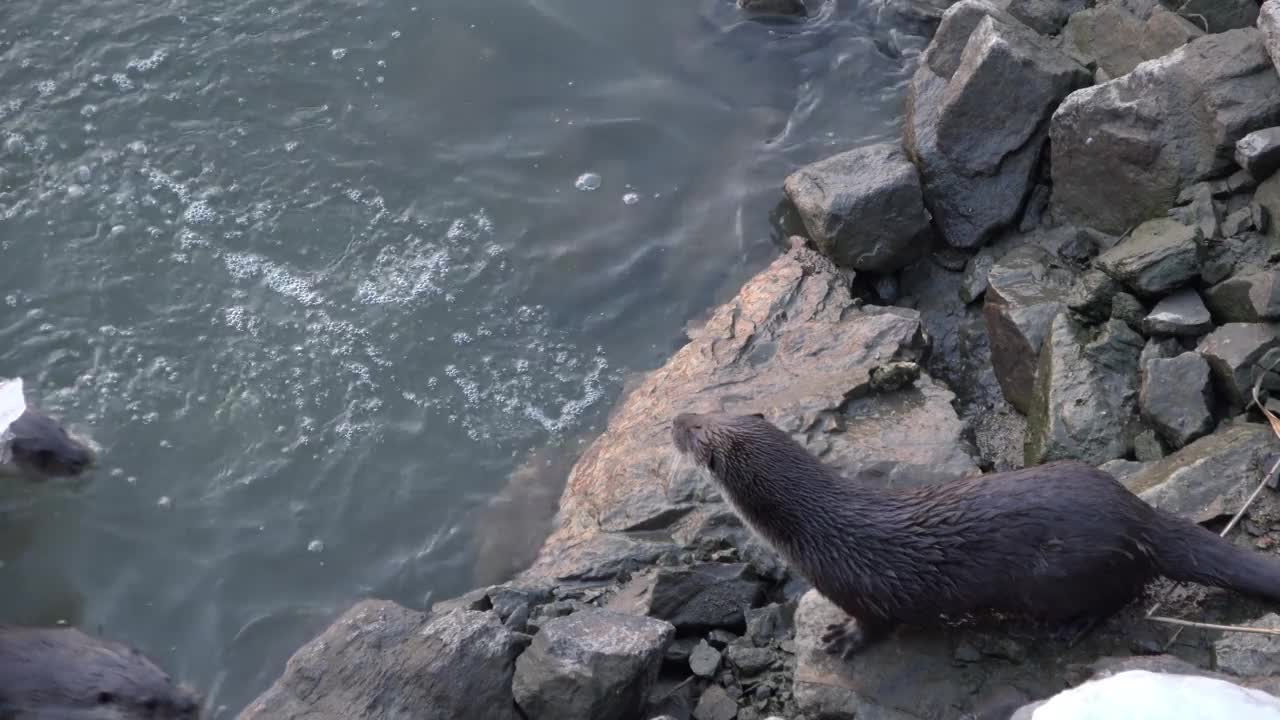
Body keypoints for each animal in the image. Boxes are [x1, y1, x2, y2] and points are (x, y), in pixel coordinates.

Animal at [670, 409, 1280, 655]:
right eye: (705, 411)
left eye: (694, 430)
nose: (673, 420)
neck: (817, 525)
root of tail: (1137, 515)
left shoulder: (855, 588)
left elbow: (873, 624)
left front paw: (840, 639)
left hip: (1065, 575)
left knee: (1122, 594)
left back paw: (1071, 630)